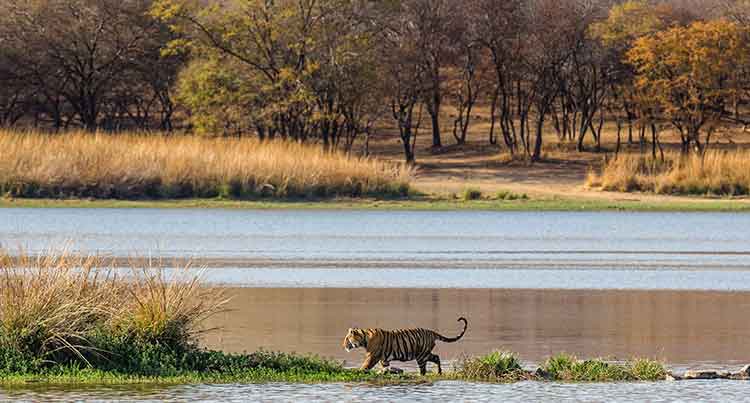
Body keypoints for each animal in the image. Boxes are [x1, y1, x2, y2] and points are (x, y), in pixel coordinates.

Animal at [342, 318, 470, 378]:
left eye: (347, 339)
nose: (343, 346)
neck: (364, 338)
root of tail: (432, 332)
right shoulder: (384, 359)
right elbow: (385, 367)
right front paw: (386, 372)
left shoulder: (372, 356)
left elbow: (365, 365)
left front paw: (359, 371)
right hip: (425, 354)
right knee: (436, 357)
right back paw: (439, 372)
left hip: (421, 356)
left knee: (424, 369)